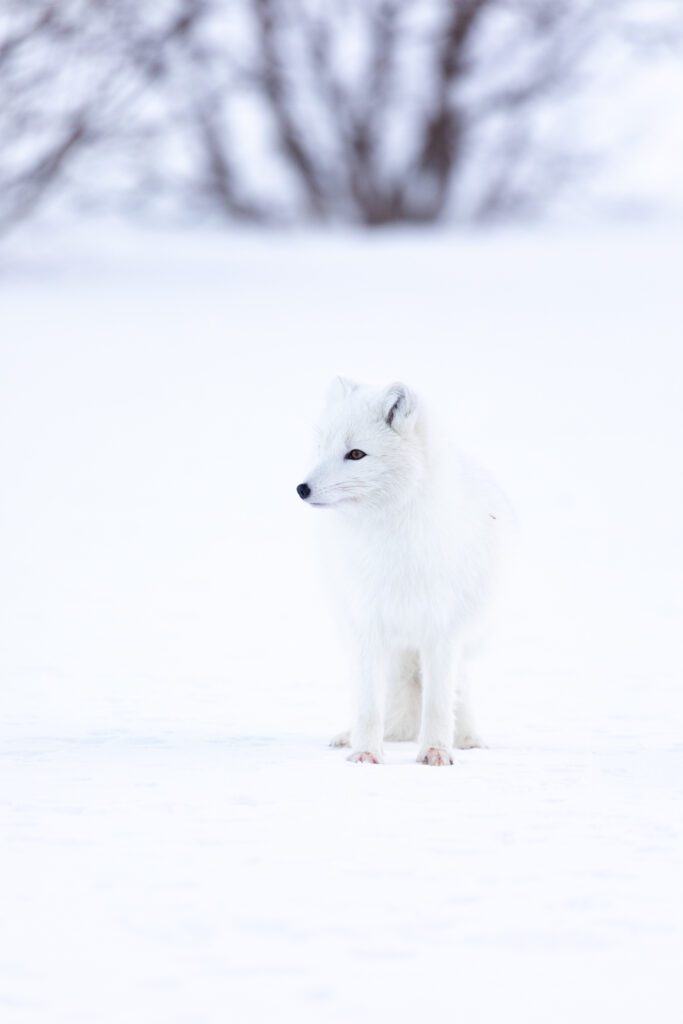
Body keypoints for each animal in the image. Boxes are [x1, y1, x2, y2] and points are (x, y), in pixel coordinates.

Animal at [297, 377, 506, 766]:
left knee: (457, 690)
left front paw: (437, 750)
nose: (301, 488)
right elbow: (368, 705)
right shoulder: (368, 624)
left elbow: (438, 703)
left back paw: (468, 739)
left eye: (356, 454)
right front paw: (365, 751)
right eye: (321, 448)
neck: (392, 545)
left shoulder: (441, 629)